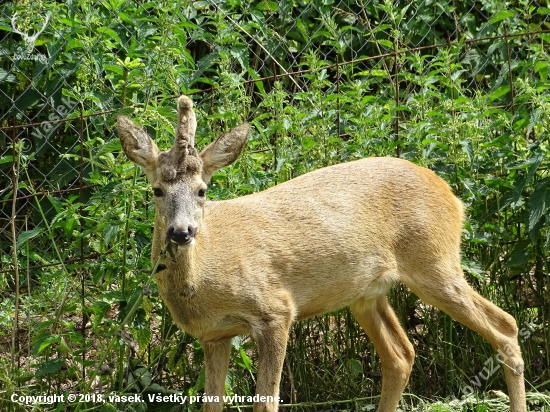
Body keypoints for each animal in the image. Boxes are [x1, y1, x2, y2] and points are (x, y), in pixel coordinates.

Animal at [118, 96, 528, 412]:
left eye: (202, 190)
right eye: (156, 190)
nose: (182, 232)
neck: (203, 277)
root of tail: (453, 197)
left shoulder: (276, 311)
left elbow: (266, 401)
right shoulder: (214, 335)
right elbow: (211, 404)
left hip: (434, 260)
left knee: (506, 325)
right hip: (366, 293)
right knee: (401, 355)